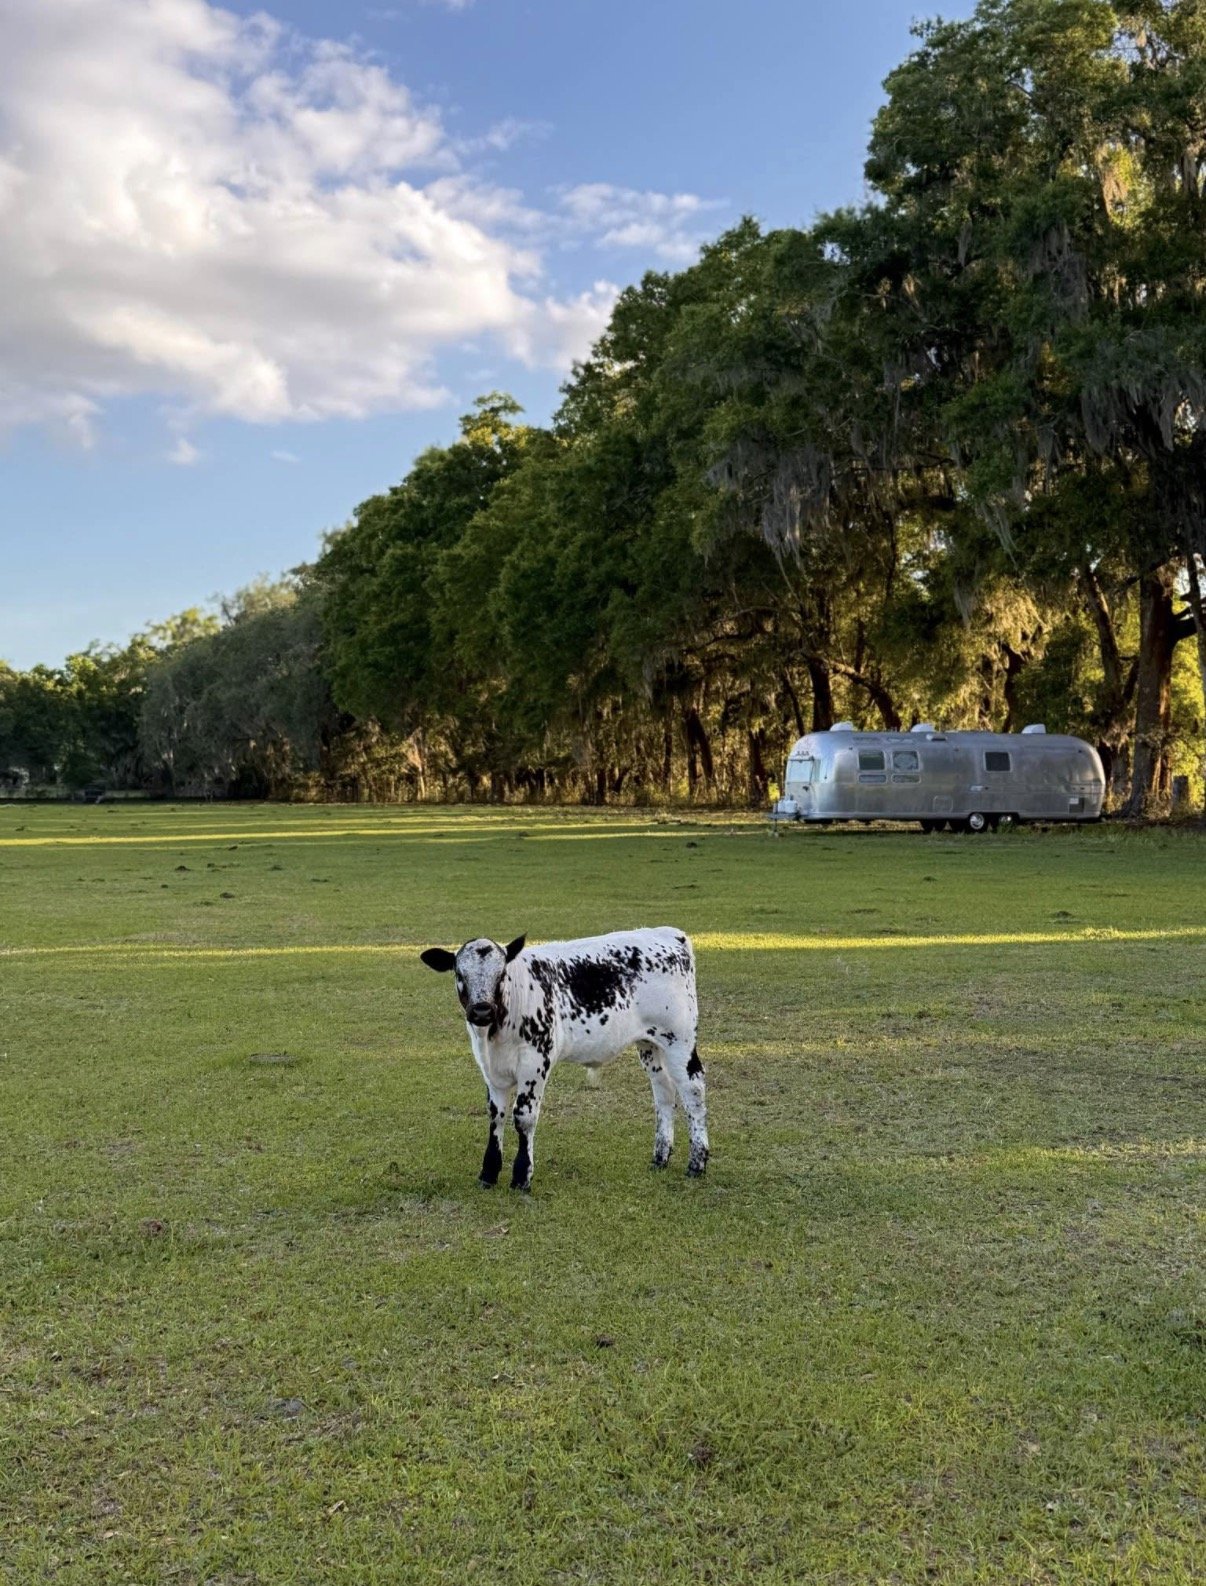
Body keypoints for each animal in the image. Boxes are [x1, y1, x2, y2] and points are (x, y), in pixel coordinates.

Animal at [419, 927, 708, 1192]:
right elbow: (496, 1116)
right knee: (664, 1092)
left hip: (679, 1040)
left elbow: (523, 1116)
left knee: (693, 1092)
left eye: (501, 975)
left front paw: (521, 1177)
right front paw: (488, 1173)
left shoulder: (535, 1061)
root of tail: (669, 933)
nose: (481, 1011)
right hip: (649, 1044)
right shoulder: (490, 1069)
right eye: (460, 974)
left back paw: (697, 1164)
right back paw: (660, 1158)